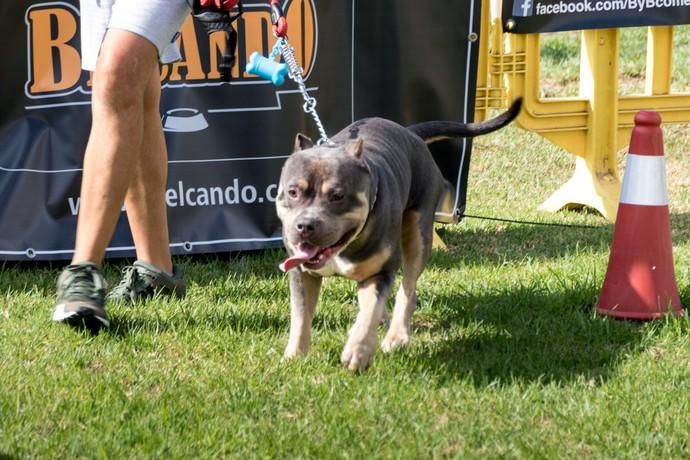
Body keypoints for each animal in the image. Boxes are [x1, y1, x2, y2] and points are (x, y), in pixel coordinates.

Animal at [274, 99, 520, 372]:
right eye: (293, 192)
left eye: (337, 196)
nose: (305, 225)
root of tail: (410, 133)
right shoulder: (302, 274)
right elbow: (300, 316)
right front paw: (294, 356)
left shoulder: (381, 272)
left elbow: (369, 313)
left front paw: (358, 351)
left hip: (418, 236)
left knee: (407, 289)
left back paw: (397, 336)